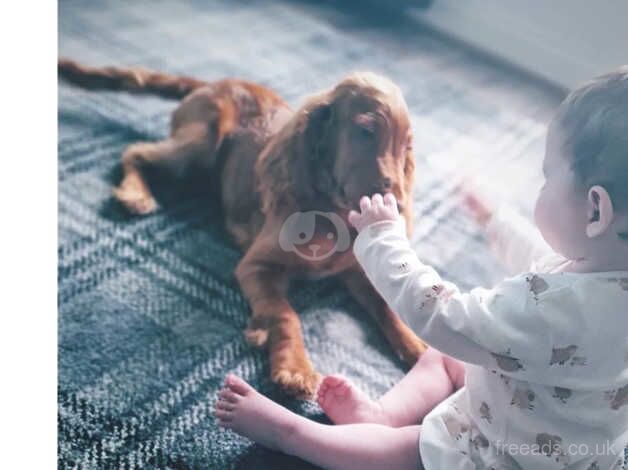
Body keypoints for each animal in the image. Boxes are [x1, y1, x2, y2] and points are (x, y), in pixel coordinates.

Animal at [59, 58, 430, 396]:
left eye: (407, 147)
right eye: (365, 131)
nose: (397, 209)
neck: (334, 215)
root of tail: (215, 83)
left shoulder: (357, 271)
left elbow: (388, 306)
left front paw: (418, 347)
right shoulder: (256, 266)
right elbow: (285, 314)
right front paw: (295, 368)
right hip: (201, 142)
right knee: (136, 151)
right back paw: (136, 194)